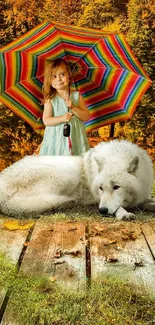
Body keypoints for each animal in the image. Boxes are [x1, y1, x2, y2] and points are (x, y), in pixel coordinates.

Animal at [0, 140, 154, 220]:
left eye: (116, 187)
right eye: (101, 188)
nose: (102, 211)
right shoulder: (99, 198)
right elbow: (118, 207)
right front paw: (124, 214)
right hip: (68, 174)